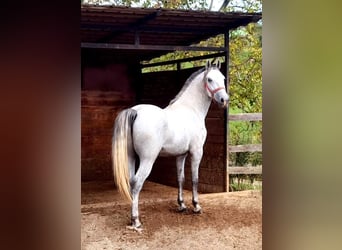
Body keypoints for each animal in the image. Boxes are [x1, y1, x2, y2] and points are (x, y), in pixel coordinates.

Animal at [113, 60, 230, 230]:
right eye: (209, 79)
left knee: (131, 181)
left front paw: (181, 205)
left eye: (223, 78)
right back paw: (136, 220)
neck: (191, 109)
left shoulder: (180, 155)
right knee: (137, 183)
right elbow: (195, 179)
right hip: (147, 160)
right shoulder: (196, 152)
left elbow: (180, 178)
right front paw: (196, 206)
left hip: (131, 157)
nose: (224, 100)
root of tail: (135, 111)